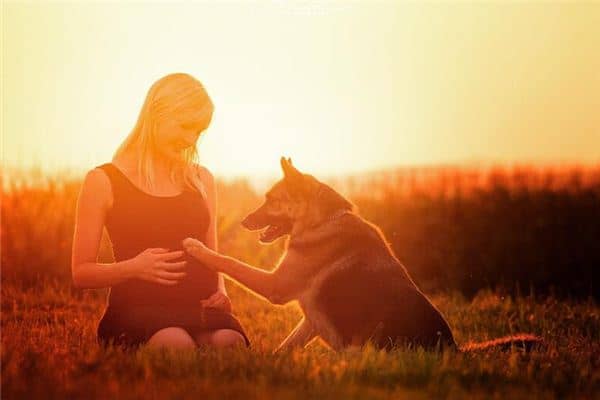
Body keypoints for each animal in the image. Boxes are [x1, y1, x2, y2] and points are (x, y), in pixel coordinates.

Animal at [182, 158, 540, 352]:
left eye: (271, 199)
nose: (243, 221)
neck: (323, 222)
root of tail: (454, 350)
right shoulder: (311, 318)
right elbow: (286, 346)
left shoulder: (276, 287)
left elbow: (229, 261)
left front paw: (198, 248)